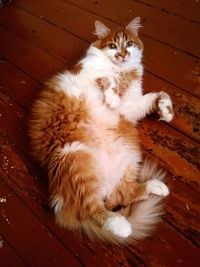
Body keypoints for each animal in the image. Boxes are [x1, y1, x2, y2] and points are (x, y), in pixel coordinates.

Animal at [28, 17, 174, 245]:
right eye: (112, 46)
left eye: (129, 44)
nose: (122, 55)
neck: (123, 72)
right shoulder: (86, 73)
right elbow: (107, 79)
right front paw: (112, 97)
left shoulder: (131, 107)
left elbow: (160, 94)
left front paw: (166, 111)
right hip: (75, 157)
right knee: (92, 209)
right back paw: (121, 225)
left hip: (129, 157)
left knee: (123, 195)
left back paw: (157, 187)